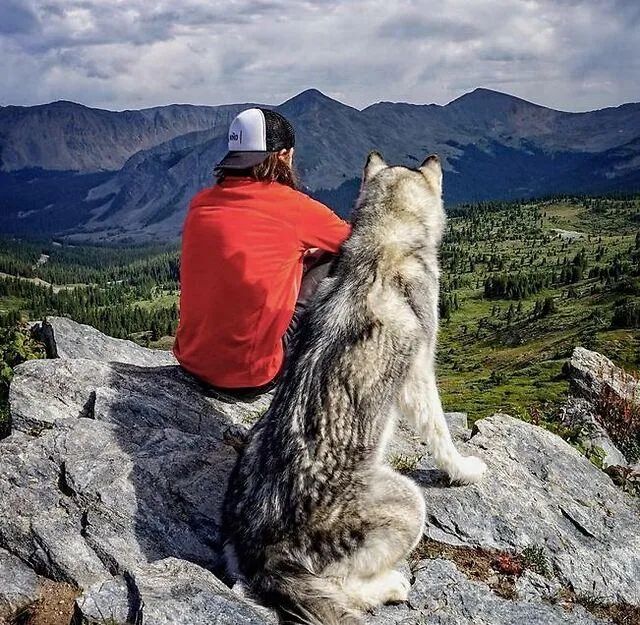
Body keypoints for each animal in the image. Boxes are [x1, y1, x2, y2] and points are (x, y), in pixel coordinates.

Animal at [222, 152, 488, 624]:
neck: (385, 240)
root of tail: (267, 556)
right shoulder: (419, 373)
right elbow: (440, 433)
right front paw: (463, 469)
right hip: (409, 501)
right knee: (343, 589)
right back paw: (390, 586)